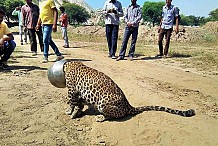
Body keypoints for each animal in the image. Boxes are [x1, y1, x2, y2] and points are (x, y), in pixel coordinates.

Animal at [62, 61, 195, 122]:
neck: (67, 64)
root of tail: (128, 105)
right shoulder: (79, 93)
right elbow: (79, 104)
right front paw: (77, 112)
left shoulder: (72, 90)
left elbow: (71, 102)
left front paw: (69, 111)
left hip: (104, 103)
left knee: (111, 116)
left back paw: (100, 117)